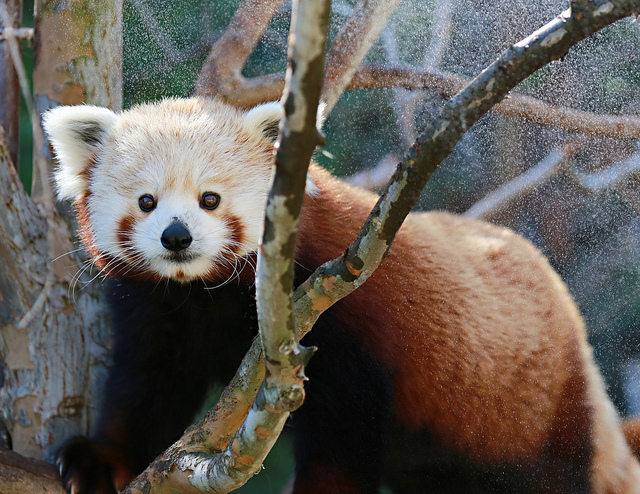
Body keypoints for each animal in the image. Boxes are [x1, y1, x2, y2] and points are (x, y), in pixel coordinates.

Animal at [44, 97, 640, 493]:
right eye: (146, 202)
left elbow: (344, 431)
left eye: (210, 199)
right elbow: (146, 388)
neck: (211, 295)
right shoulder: (158, 310)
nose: (176, 237)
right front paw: (100, 461)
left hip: (539, 417)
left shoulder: (343, 317)